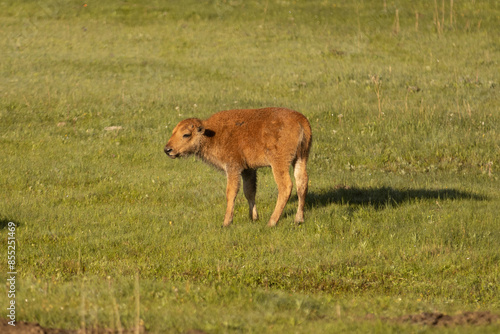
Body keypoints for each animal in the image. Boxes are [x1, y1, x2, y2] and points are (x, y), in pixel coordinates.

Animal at [166, 107, 310, 227]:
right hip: (301, 158)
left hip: (279, 163)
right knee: (302, 183)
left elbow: (231, 192)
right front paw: (253, 218)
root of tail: (300, 120)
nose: (167, 149)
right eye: (173, 132)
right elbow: (249, 191)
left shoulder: (233, 168)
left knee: (285, 186)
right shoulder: (248, 170)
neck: (211, 133)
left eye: (186, 134)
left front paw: (226, 223)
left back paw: (271, 222)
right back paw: (298, 219)